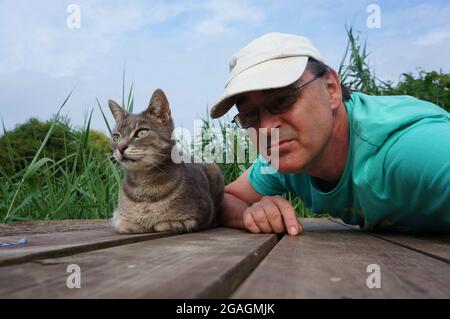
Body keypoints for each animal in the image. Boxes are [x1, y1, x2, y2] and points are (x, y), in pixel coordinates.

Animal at [107, 89, 223, 234]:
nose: (120, 147)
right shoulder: (118, 216)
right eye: (116, 137)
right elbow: (122, 222)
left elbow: (172, 221)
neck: (143, 185)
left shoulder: (201, 212)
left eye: (141, 133)